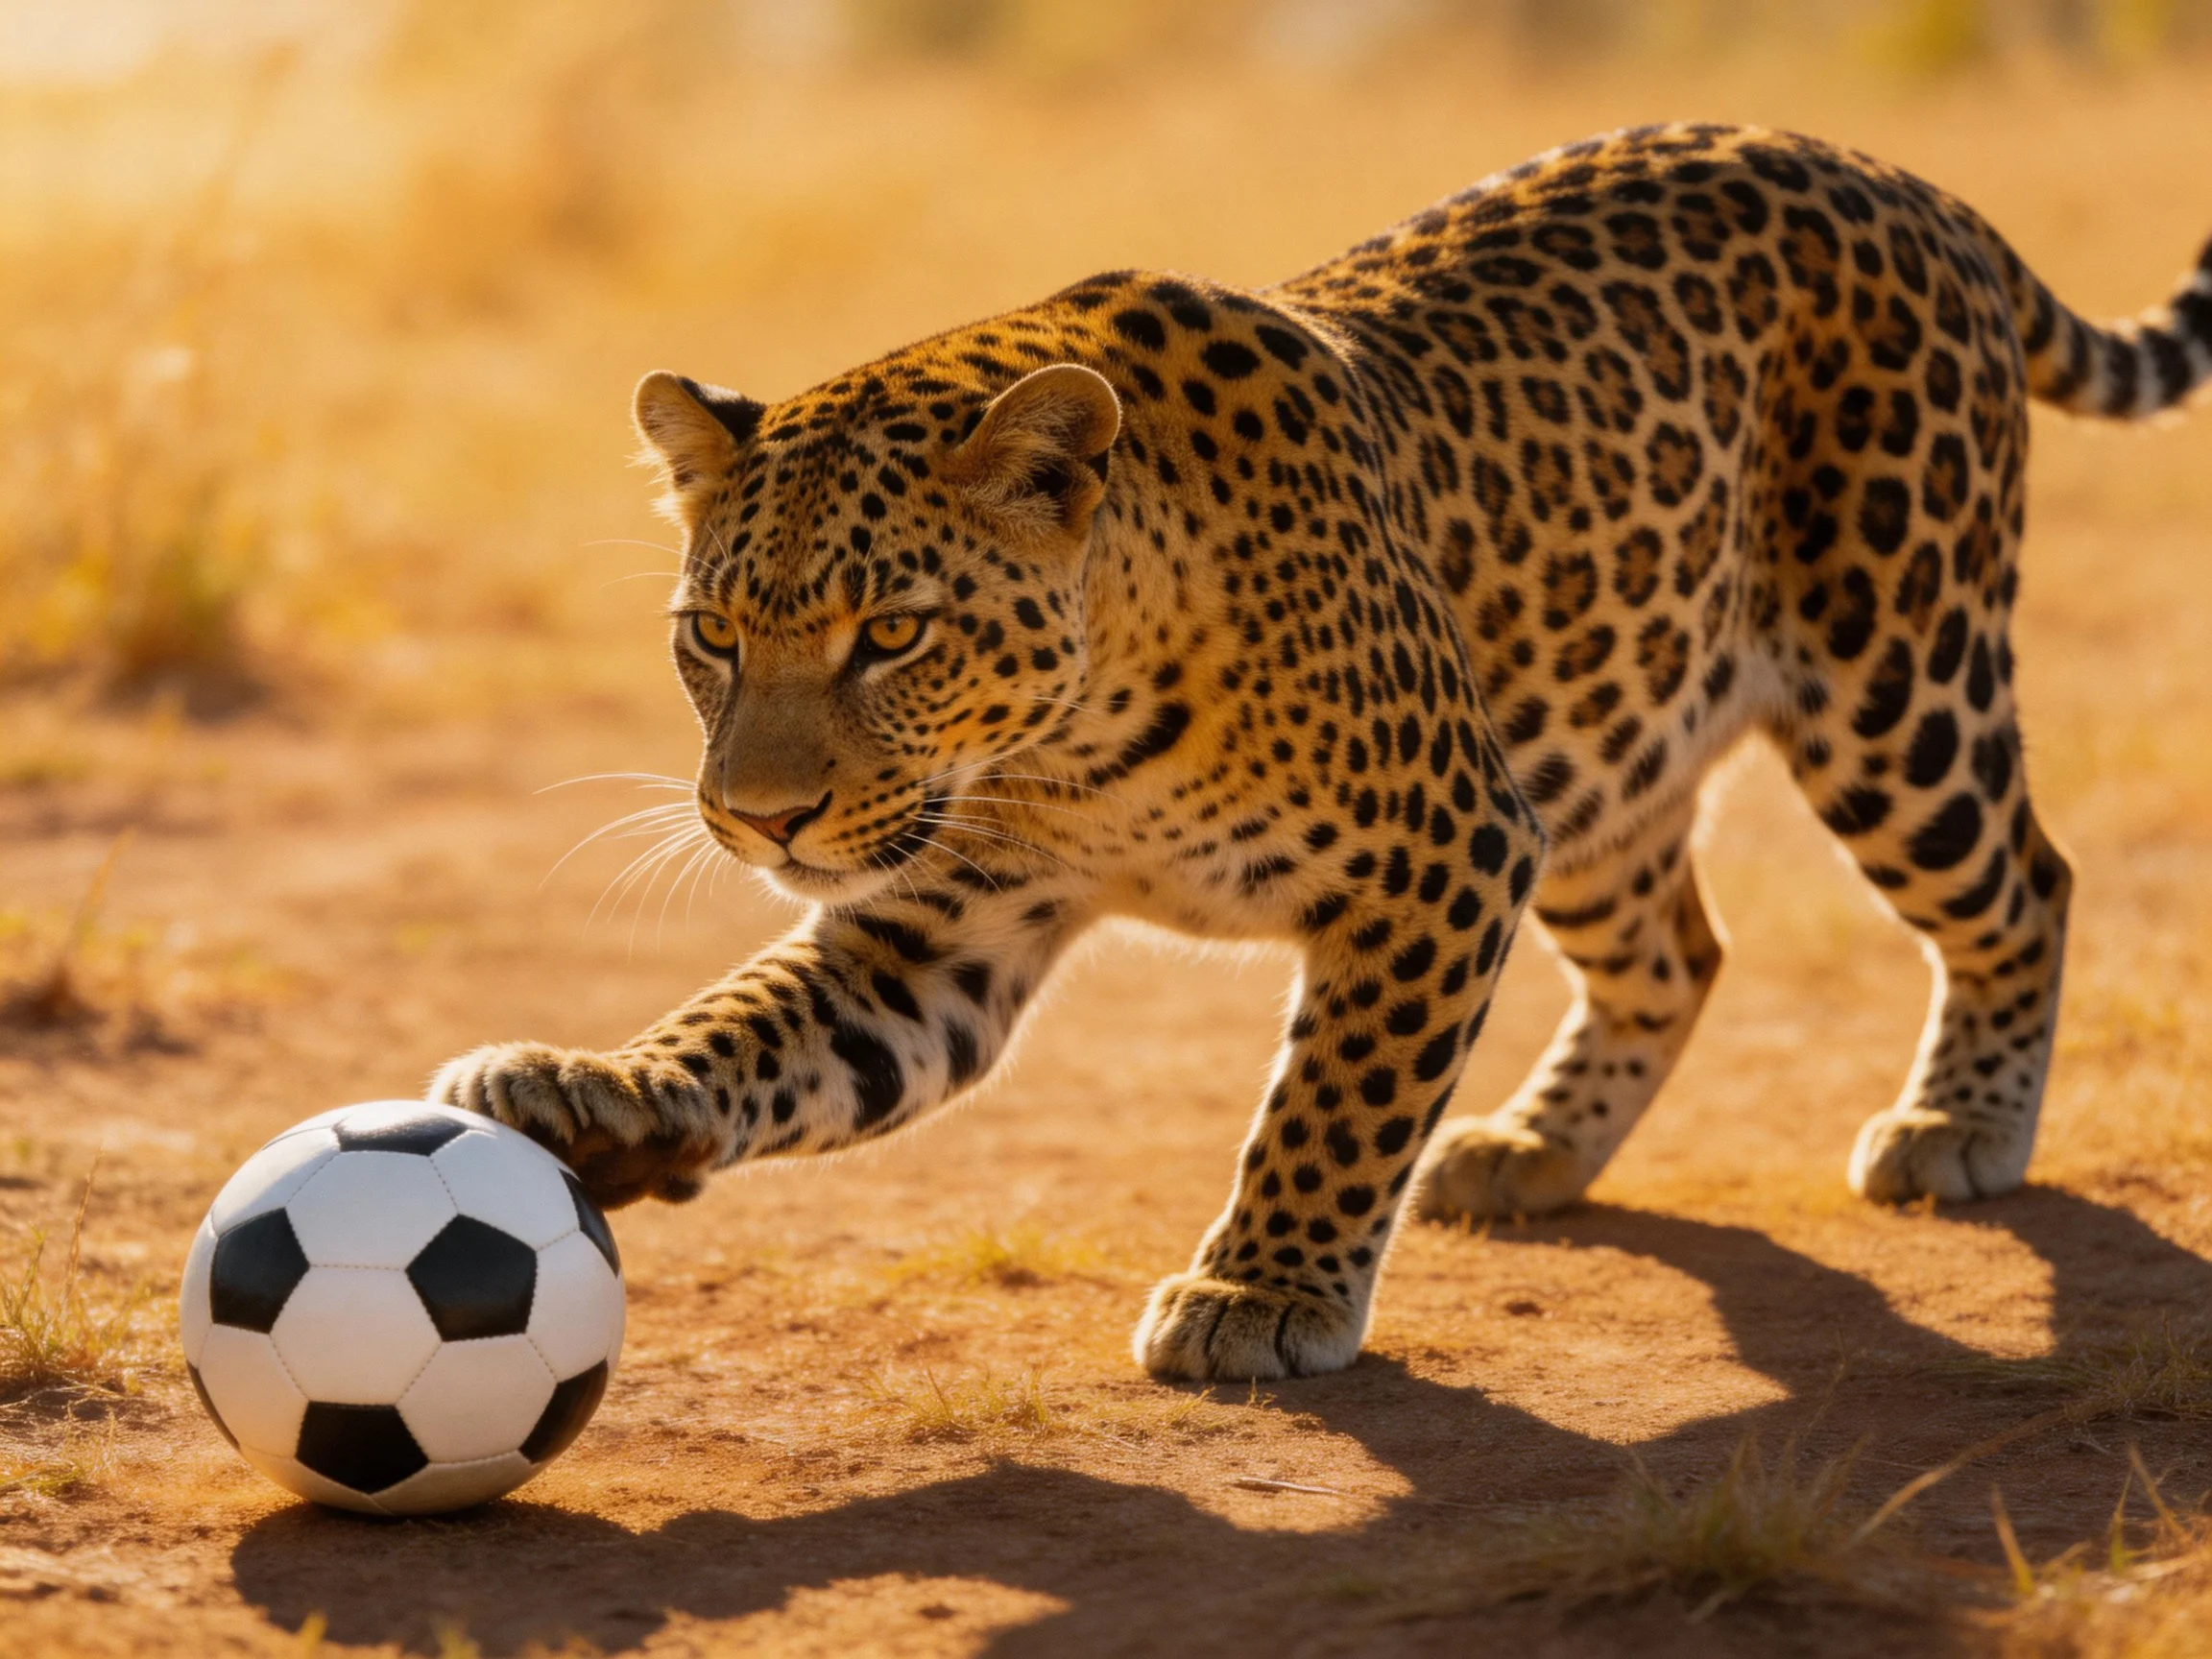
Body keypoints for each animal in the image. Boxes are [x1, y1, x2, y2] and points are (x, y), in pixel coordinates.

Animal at [433, 123, 2212, 1382]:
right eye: (710, 635)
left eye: (895, 632)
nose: (760, 820)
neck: (1078, 742)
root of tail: (1905, 180)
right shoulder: (938, 933)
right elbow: (755, 1031)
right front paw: (598, 1094)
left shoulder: (1442, 852)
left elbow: (1337, 1096)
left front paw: (1261, 1288)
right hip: (1594, 750)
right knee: (1676, 947)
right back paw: (1533, 1147)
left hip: (1890, 682)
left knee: (2023, 883)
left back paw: (1961, 1124)